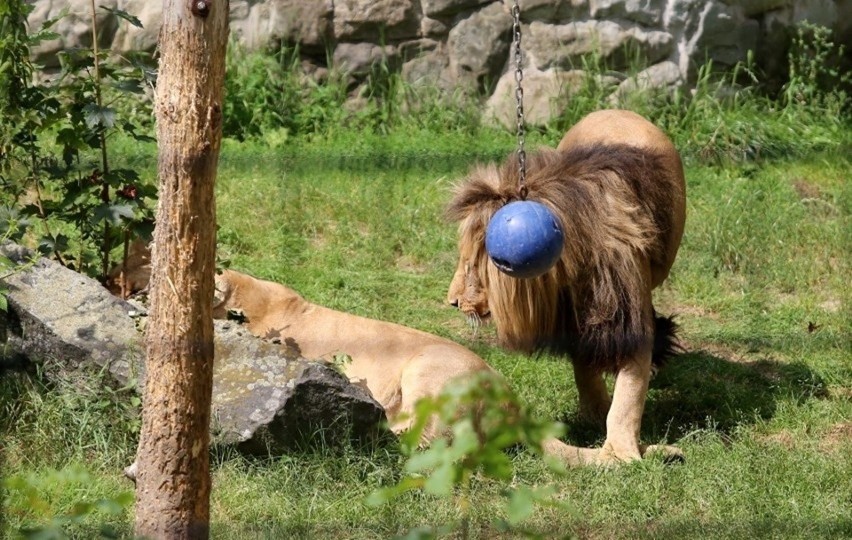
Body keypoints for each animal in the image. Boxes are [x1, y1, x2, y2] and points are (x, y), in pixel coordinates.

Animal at [446, 108, 684, 464]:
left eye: (470, 266)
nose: (453, 302)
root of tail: (614, 110)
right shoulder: (571, 316)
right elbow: (584, 371)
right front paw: (594, 415)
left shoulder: (627, 313)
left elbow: (627, 399)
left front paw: (620, 451)